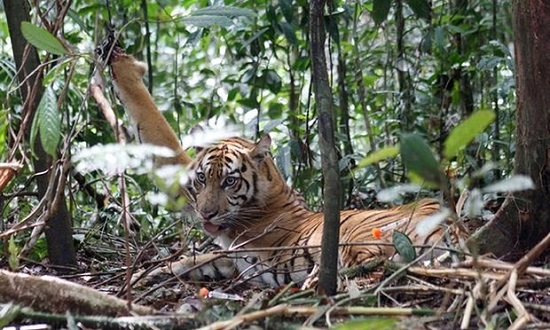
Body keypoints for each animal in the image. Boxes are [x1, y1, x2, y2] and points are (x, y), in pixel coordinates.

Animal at [97, 38, 464, 288]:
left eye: (229, 181)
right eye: (201, 179)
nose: (206, 214)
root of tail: (455, 226)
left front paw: (121, 64)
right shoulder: (223, 246)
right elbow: (196, 259)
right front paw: (155, 273)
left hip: (363, 235)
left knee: (373, 268)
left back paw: (316, 281)